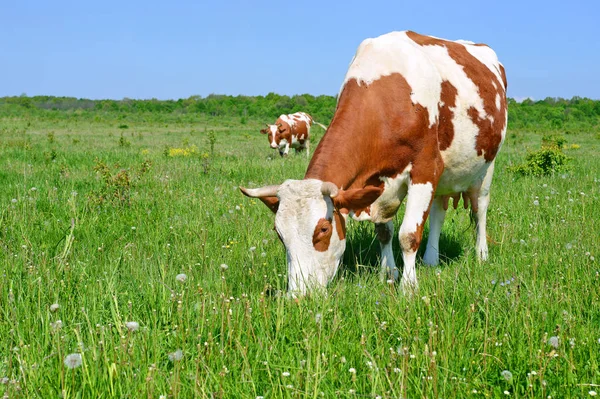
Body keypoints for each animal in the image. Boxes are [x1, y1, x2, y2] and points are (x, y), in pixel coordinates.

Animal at [239, 29, 506, 296]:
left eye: (323, 230)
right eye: (279, 234)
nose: (298, 296)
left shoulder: (426, 168)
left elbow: (408, 235)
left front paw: (408, 287)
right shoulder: (379, 184)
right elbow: (384, 232)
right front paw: (388, 273)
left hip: (486, 168)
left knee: (480, 209)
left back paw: (481, 254)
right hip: (448, 174)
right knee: (438, 212)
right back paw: (431, 260)